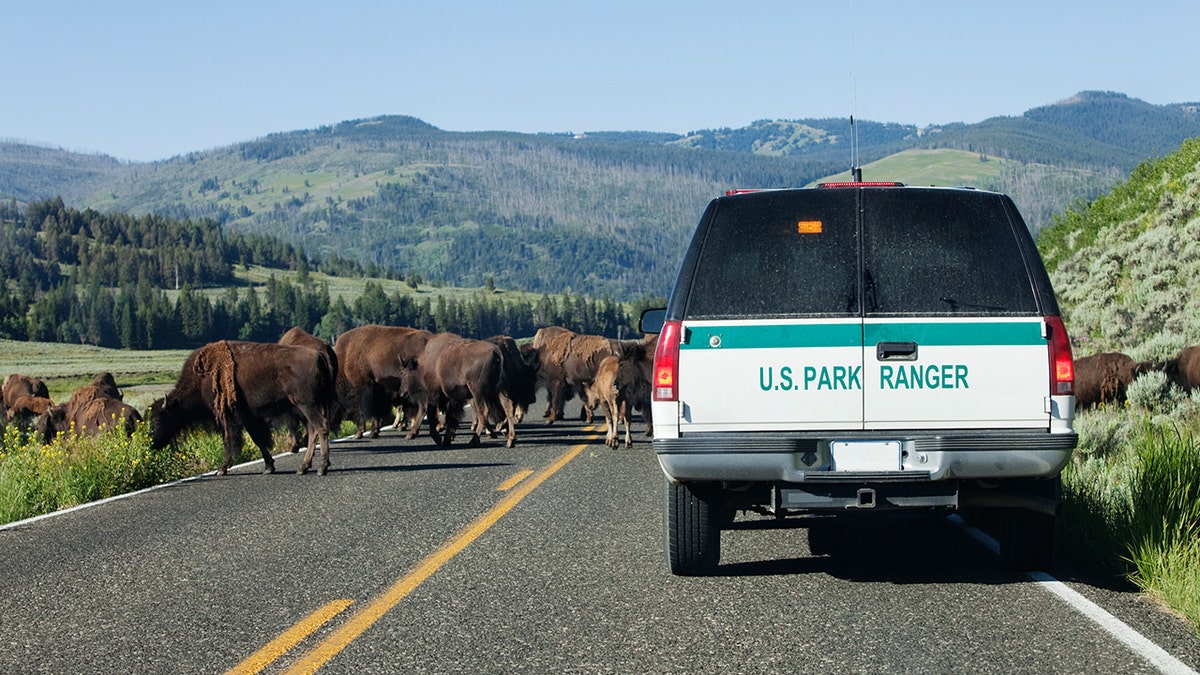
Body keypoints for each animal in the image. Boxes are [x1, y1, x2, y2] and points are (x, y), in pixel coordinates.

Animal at [152, 338, 338, 475]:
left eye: (158, 419)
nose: (153, 444)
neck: (201, 378)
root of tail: (319, 356)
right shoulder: (247, 416)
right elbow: (257, 439)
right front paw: (269, 467)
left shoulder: (228, 416)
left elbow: (229, 440)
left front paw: (222, 469)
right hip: (313, 405)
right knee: (314, 430)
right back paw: (303, 467)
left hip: (307, 404)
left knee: (320, 427)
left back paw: (322, 467)